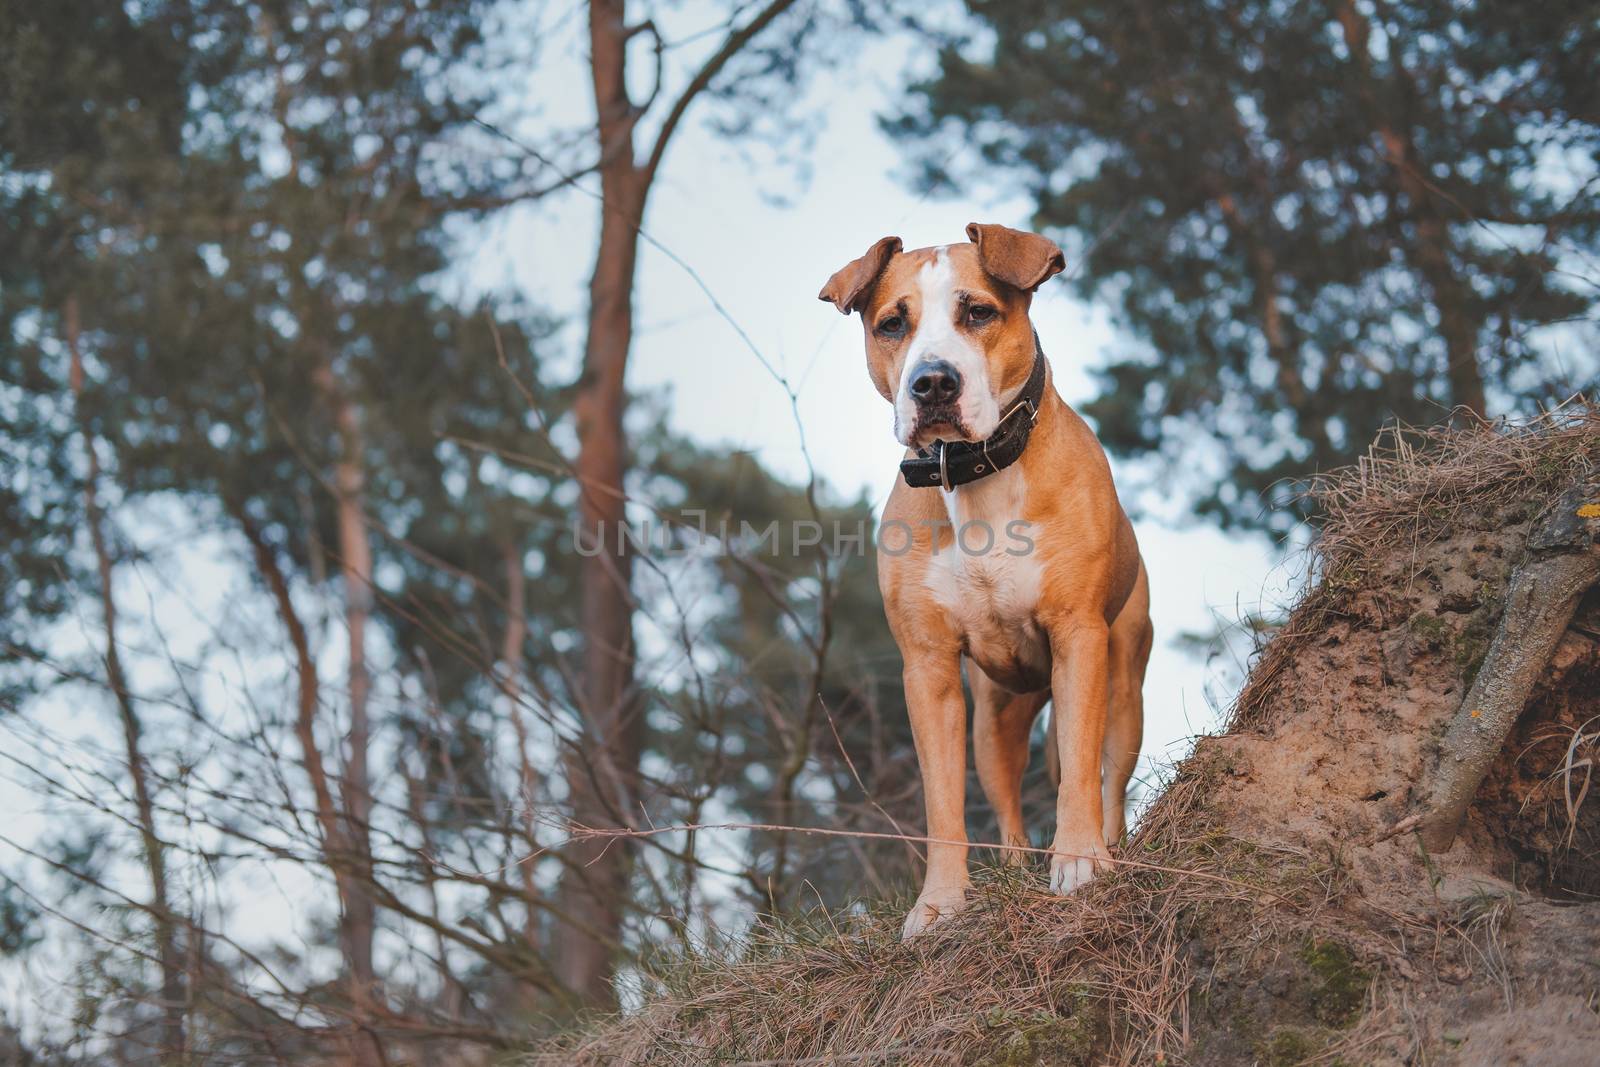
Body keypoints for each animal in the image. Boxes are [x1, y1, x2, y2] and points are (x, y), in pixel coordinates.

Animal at [825, 223, 1152, 934]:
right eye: (893, 324)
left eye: (978, 312)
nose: (932, 383)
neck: (976, 474)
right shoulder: (928, 669)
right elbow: (943, 804)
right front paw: (940, 904)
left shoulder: (1078, 635)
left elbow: (1079, 770)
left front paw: (1080, 862)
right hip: (992, 718)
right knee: (1005, 803)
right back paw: (1012, 869)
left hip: (1124, 688)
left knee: (1110, 775)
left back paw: (1109, 845)